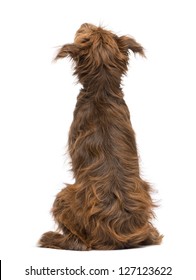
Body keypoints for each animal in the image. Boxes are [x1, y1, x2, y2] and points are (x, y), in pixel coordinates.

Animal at [38, 23, 162, 249]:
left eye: (84, 34)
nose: (85, 23)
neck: (101, 91)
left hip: (64, 196)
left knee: (80, 242)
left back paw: (53, 238)